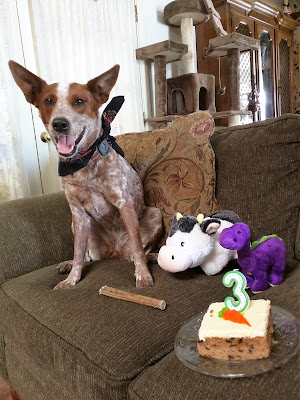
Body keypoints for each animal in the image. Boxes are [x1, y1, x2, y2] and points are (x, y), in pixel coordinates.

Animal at [8, 61, 162, 290]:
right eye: (48, 101)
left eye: (79, 101)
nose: (59, 123)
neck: (83, 164)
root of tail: (114, 252)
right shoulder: (78, 214)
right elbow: (78, 253)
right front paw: (71, 279)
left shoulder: (124, 203)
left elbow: (138, 248)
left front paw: (143, 276)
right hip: (77, 226)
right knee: (88, 256)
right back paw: (68, 264)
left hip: (154, 213)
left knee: (137, 253)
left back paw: (151, 258)